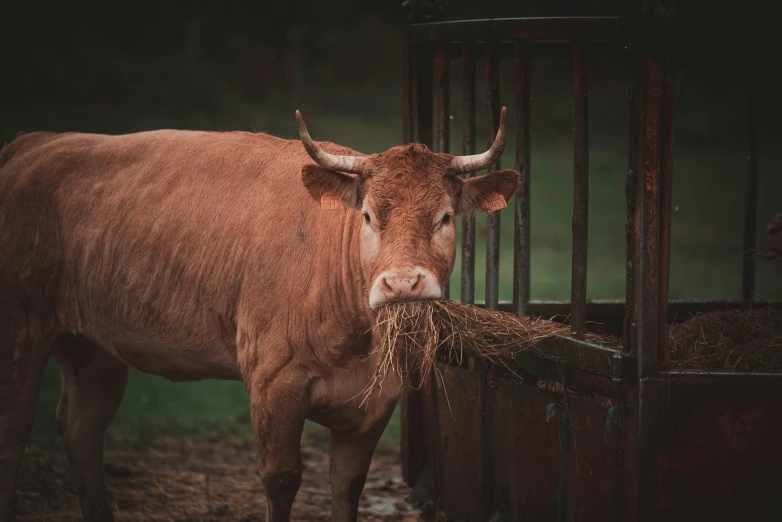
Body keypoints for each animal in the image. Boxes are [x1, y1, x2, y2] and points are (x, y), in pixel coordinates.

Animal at [0, 107, 520, 516]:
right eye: (369, 216)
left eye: (445, 217)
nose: (402, 283)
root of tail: (34, 142)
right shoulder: (274, 380)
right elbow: (282, 480)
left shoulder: (375, 400)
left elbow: (348, 487)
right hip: (19, 330)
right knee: (14, 431)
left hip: (92, 346)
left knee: (82, 429)